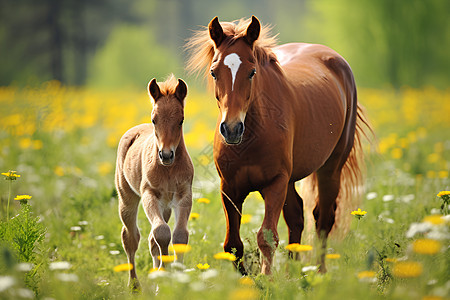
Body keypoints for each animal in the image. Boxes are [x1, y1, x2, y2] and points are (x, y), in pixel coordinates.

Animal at [115, 75, 192, 288]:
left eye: (181, 120)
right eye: (154, 119)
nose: (166, 155)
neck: (168, 169)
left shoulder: (184, 195)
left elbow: (179, 236)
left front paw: (177, 278)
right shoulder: (149, 194)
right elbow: (162, 233)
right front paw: (164, 276)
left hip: (165, 206)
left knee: (150, 240)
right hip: (127, 198)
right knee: (131, 237)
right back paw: (134, 286)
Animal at [185, 16, 370, 274]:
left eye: (252, 72)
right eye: (214, 72)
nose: (231, 129)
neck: (251, 138)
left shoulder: (275, 184)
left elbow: (267, 237)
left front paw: (267, 278)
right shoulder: (229, 188)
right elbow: (233, 244)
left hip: (330, 168)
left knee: (323, 219)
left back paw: (320, 273)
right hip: (291, 180)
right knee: (297, 218)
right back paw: (293, 273)